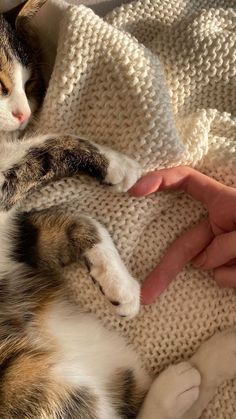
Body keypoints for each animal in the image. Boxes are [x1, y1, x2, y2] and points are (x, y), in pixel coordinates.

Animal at [0, 0, 236, 419]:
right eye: (1, 84)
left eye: (29, 84)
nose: (23, 115)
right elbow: (47, 149)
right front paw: (118, 163)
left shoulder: (14, 231)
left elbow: (76, 221)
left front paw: (119, 284)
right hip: (31, 386)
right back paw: (182, 381)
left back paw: (217, 356)